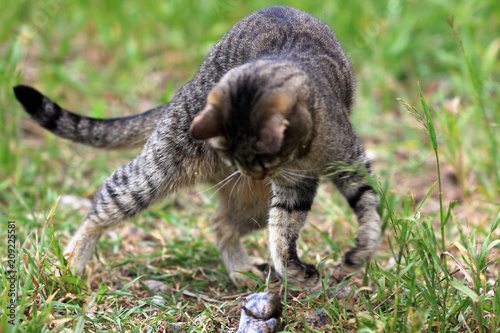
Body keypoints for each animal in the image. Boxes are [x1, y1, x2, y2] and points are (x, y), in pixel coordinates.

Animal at [13, 5, 380, 288]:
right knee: (106, 197)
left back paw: (241, 271)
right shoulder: (294, 181)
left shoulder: (338, 165)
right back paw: (69, 264)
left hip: (253, 203)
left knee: (221, 224)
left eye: (260, 162)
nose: (251, 174)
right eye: (242, 160)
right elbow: (285, 232)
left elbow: (352, 215)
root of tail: (187, 86)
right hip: (159, 168)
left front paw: (352, 255)